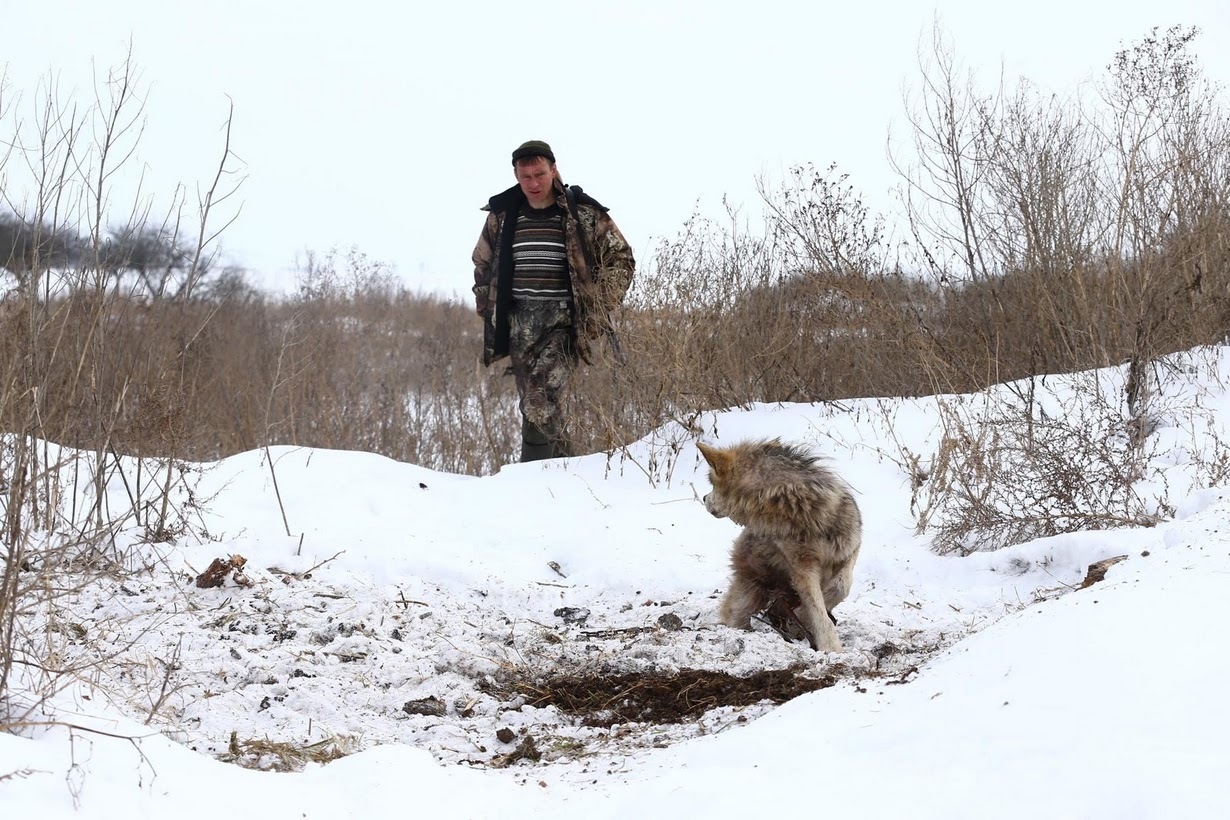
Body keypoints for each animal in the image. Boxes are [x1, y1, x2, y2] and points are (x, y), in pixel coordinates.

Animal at [698, 440, 861, 649]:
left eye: (712, 484)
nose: (704, 498)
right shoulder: (802, 569)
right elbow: (818, 608)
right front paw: (830, 646)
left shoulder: (851, 549)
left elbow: (841, 586)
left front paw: (804, 618)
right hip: (749, 596)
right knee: (734, 616)